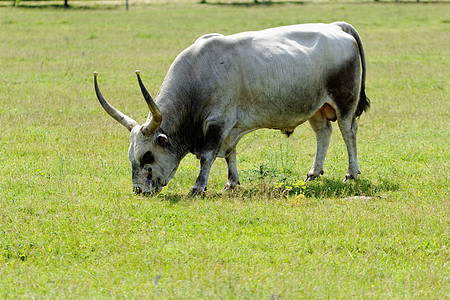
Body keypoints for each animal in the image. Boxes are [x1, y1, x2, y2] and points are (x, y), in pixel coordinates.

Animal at [94, 20, 370, 195]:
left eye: (148, 156)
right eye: (131, 157)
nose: (138, 190)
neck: (198, 74)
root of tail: (335, 27)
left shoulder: (218, 123)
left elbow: (207, 156)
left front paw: (198, 187)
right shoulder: (230, 128)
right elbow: (229, 153)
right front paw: (231, 182)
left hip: (344, 102)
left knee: (349, 132)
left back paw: (351, 173)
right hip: (316, 106)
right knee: (323, 133)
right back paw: (314, 172)